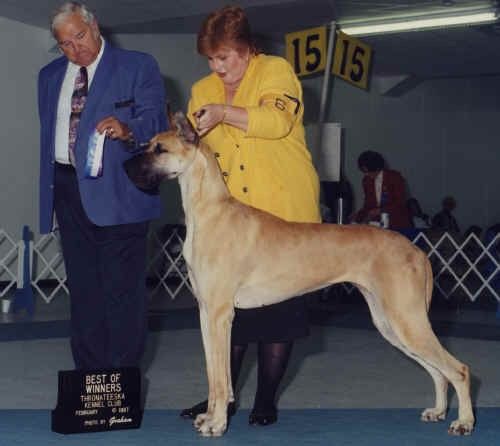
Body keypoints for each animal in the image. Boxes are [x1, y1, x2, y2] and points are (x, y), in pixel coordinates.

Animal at [124, 111, 474, 437]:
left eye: (159, 149)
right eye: (148, 144)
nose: (126, 166)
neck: (210, 211)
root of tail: (418, 251)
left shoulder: (221, 315)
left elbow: (222, 379)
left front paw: (218, 424)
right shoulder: (206, 314)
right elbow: (214, 375)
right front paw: (210, 416)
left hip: (407, 319)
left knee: (458, 369)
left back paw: (464, 422)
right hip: (391, 323)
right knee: (438, 371)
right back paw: (438, 411)